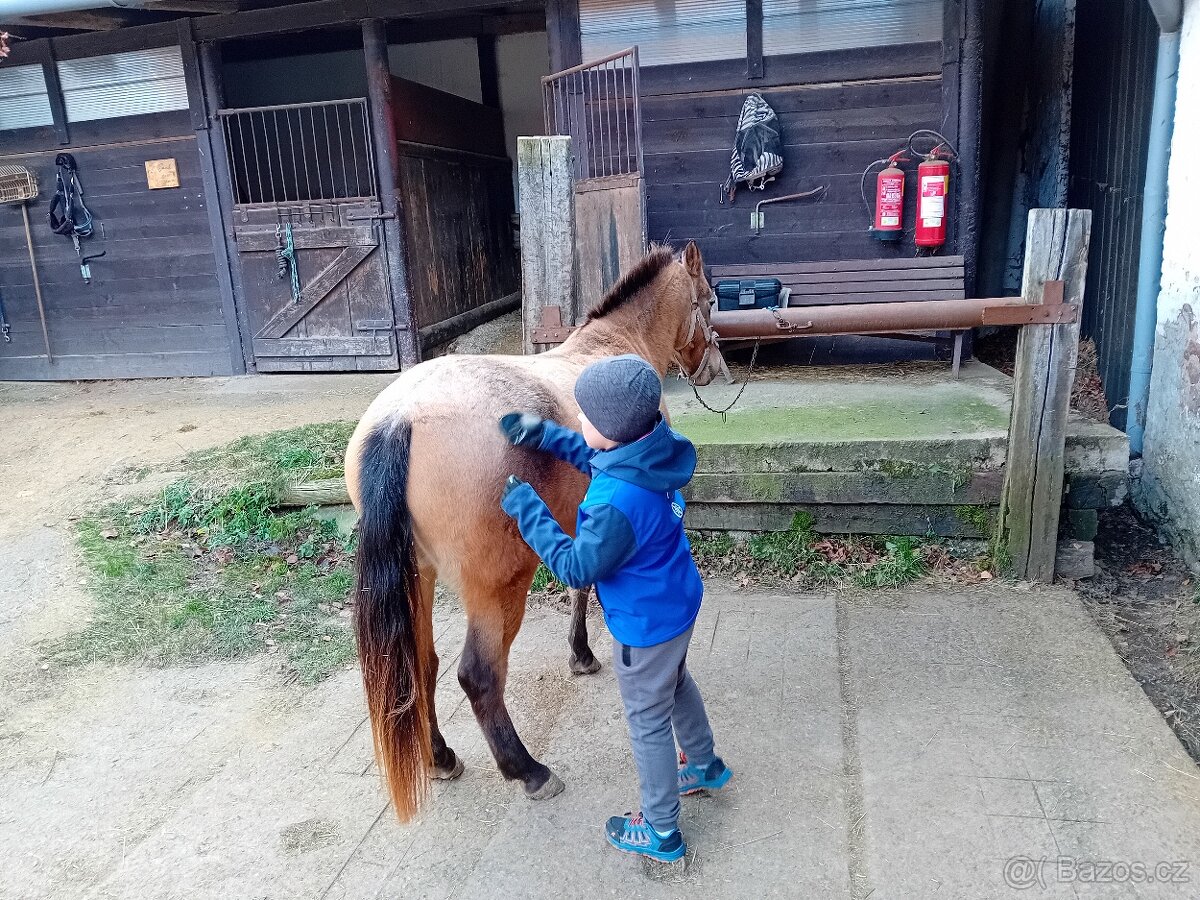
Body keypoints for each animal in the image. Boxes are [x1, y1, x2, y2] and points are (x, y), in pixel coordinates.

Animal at [345, 241, 728, 822]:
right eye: (707, 298)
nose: (716, 367)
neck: (611, 346)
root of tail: (400, 418)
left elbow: (580, 585)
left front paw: (581, 654)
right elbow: (584, 589)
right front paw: (584, 654)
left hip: (420, 578)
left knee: (422, 664)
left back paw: (440, 757)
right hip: (496, 590)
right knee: (478, 676)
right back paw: (528, 770)